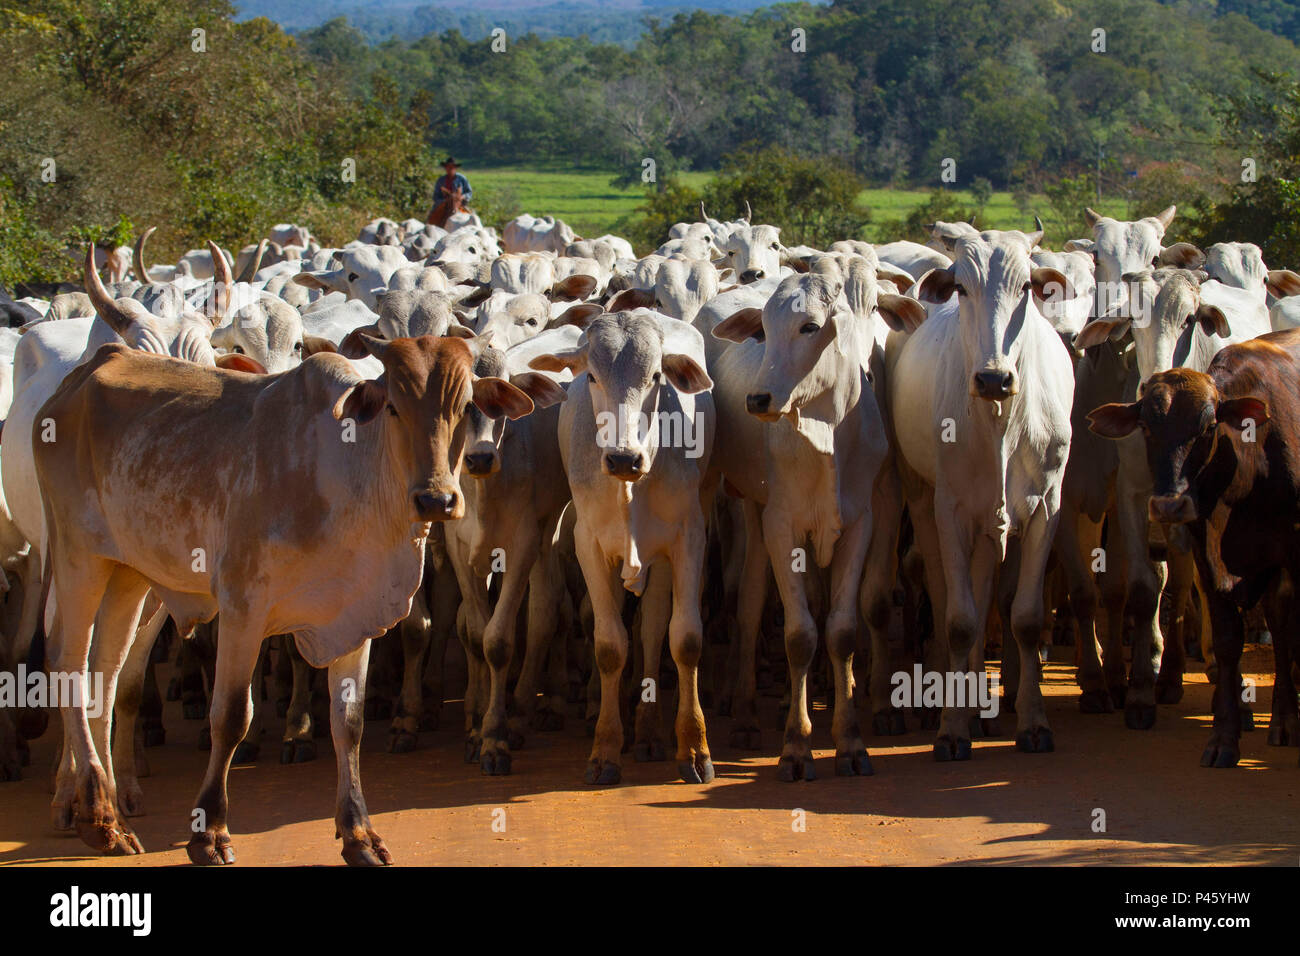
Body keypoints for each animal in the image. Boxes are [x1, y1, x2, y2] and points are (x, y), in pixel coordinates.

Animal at [1086, 332, 1300, 764]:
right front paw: (1223, 739)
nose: (1169, 506)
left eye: (1209, 425)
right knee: (1279, 622)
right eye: (1146, 427)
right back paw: (1282, 721)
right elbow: (1228, 640)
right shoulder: (1208, 556)